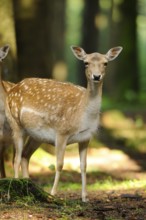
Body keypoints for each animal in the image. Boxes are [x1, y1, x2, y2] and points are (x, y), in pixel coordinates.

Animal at [3, 45, 122, 202]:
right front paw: (53, 194)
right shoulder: (61, 132)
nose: (96, 76)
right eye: (86, 63)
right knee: (16, 158)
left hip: (36, 136)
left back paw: (29, 188)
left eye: (106, 63)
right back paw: (14, 191)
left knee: (25, 156)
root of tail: (11, 89)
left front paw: (85, 197)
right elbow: (59, 164)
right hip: (15, 123)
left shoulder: (86, 137)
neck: (82, 115)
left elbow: (84, 165)